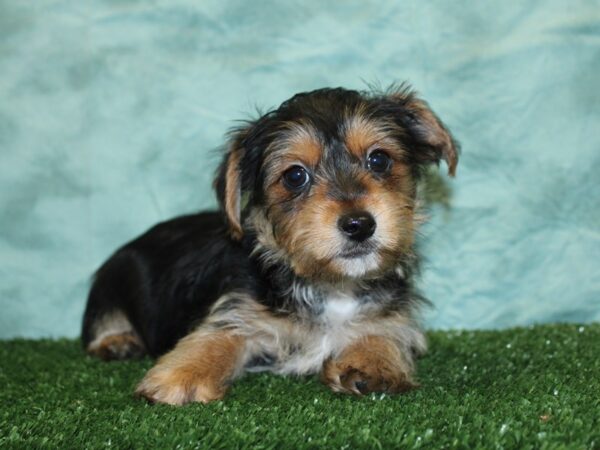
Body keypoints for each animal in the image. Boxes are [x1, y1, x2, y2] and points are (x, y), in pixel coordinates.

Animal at [81, 84, 460, 404]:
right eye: (295, 176)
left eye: (379, 160)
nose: (359, 224)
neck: (330, 286)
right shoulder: (240, 303)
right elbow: (219, 333)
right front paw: (181, 376)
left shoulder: (388, 311)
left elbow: (383, 330)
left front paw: (372, 362)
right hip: (111, 281)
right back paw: (117, 341)